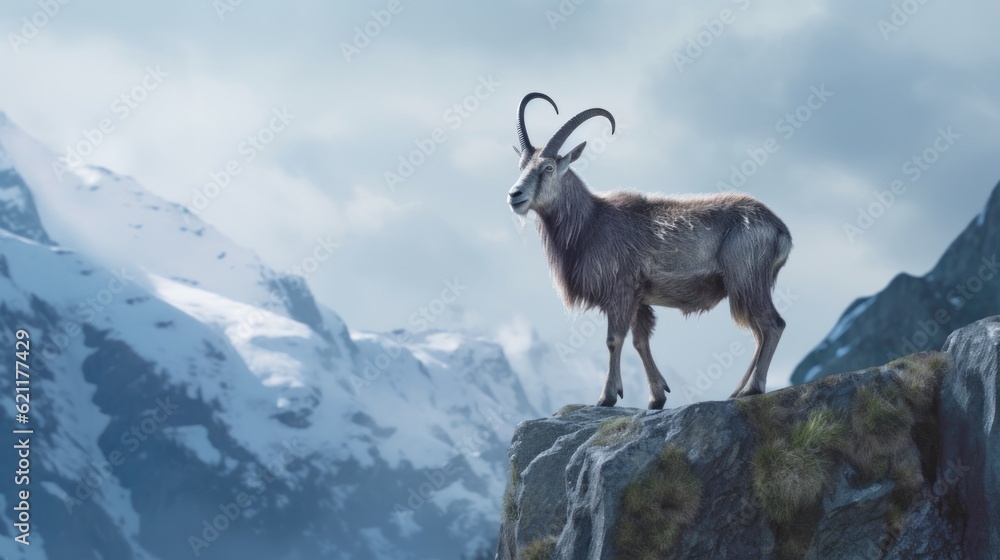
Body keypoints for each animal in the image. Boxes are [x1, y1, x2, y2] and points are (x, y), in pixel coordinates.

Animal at [507, 93, 792, 409]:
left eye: (548, 168)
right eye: (521, 166)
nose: (515, 195)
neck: (591, 222)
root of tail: (780, 230)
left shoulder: (621, 290)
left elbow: (614, 340)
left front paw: (606, 397)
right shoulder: (639, 298)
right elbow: (640, 341)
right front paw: (656, 396)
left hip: (747, 278)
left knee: (772, 325)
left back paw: (752, 388)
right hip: (747, 285)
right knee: (758, 332)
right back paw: (738, 390)